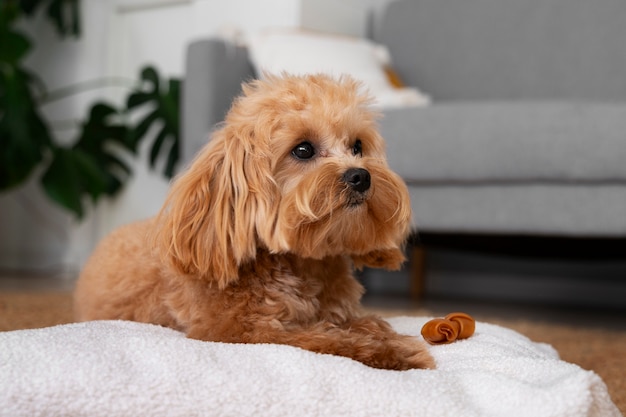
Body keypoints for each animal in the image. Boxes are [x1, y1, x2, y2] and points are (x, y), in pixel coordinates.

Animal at [73, 73, 432, 368]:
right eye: (303, 149)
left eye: (357, 146)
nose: (361, 176)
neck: (303, 265)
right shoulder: (242, 330)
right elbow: (320, 337)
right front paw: (393, 350)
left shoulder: (338, 310)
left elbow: (365, 320)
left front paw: (384, 333)